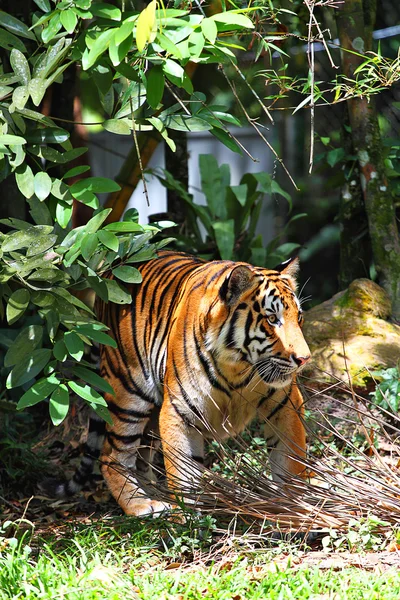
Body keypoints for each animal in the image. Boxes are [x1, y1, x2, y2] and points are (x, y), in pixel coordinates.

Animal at [51, 250, 310, 516]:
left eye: (298, 317)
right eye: (272, 319)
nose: (304, 358)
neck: (238, 367)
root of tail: (109, 272)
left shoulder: (285, 404)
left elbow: (290, 461)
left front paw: (297, 509)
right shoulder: (179, 410)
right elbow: (182, 472)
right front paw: (187, 519)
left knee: (141, 456)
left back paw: (156, 496)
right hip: (129, 394)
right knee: (111, 456)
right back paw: (141, 504)